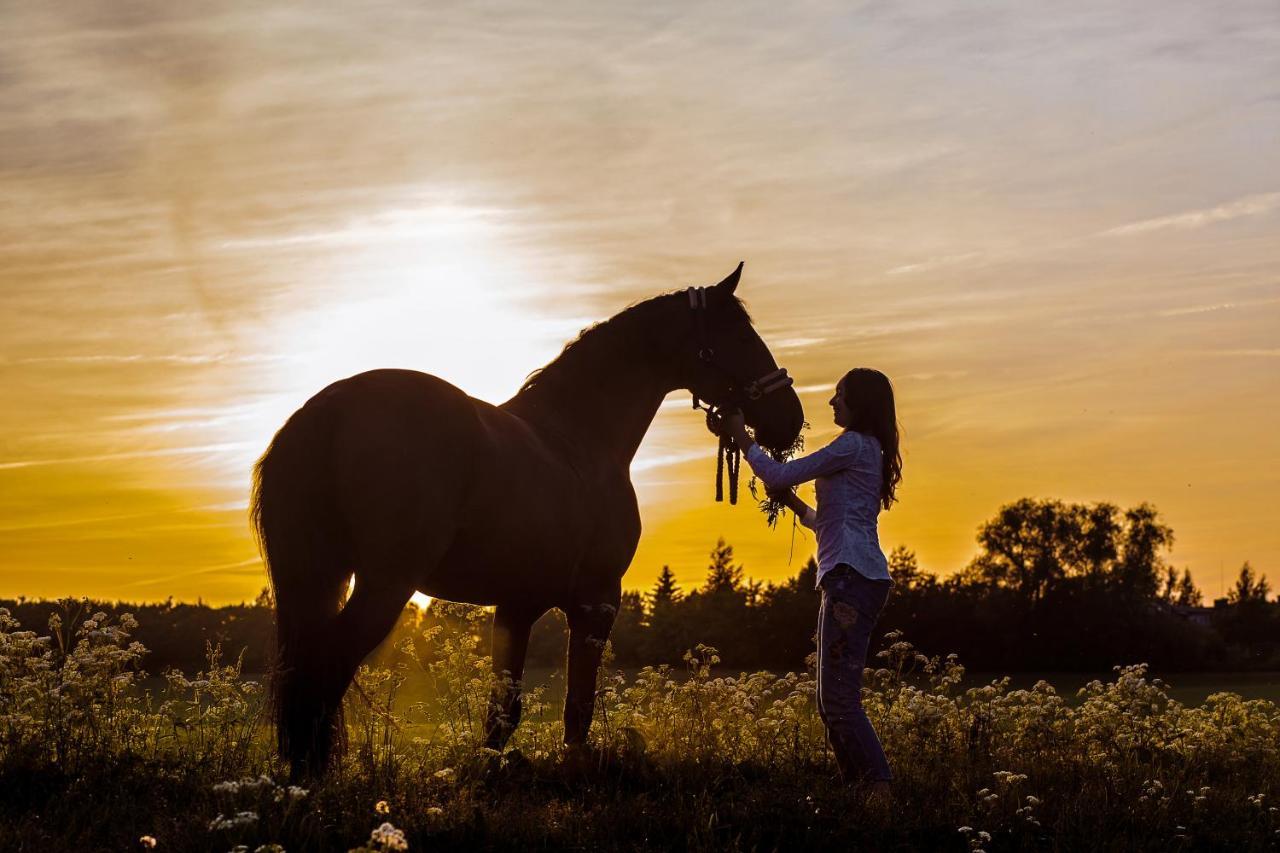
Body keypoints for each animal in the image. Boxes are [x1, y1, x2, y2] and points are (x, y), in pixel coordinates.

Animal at [252, 262, 798, 773]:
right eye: (739, 335)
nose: (789, 418)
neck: (578, 439)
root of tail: (329, 410)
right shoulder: (597, 600)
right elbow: (576, 709)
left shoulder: (517, 604)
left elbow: (503, 713)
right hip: (385, 583)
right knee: (325, 669)